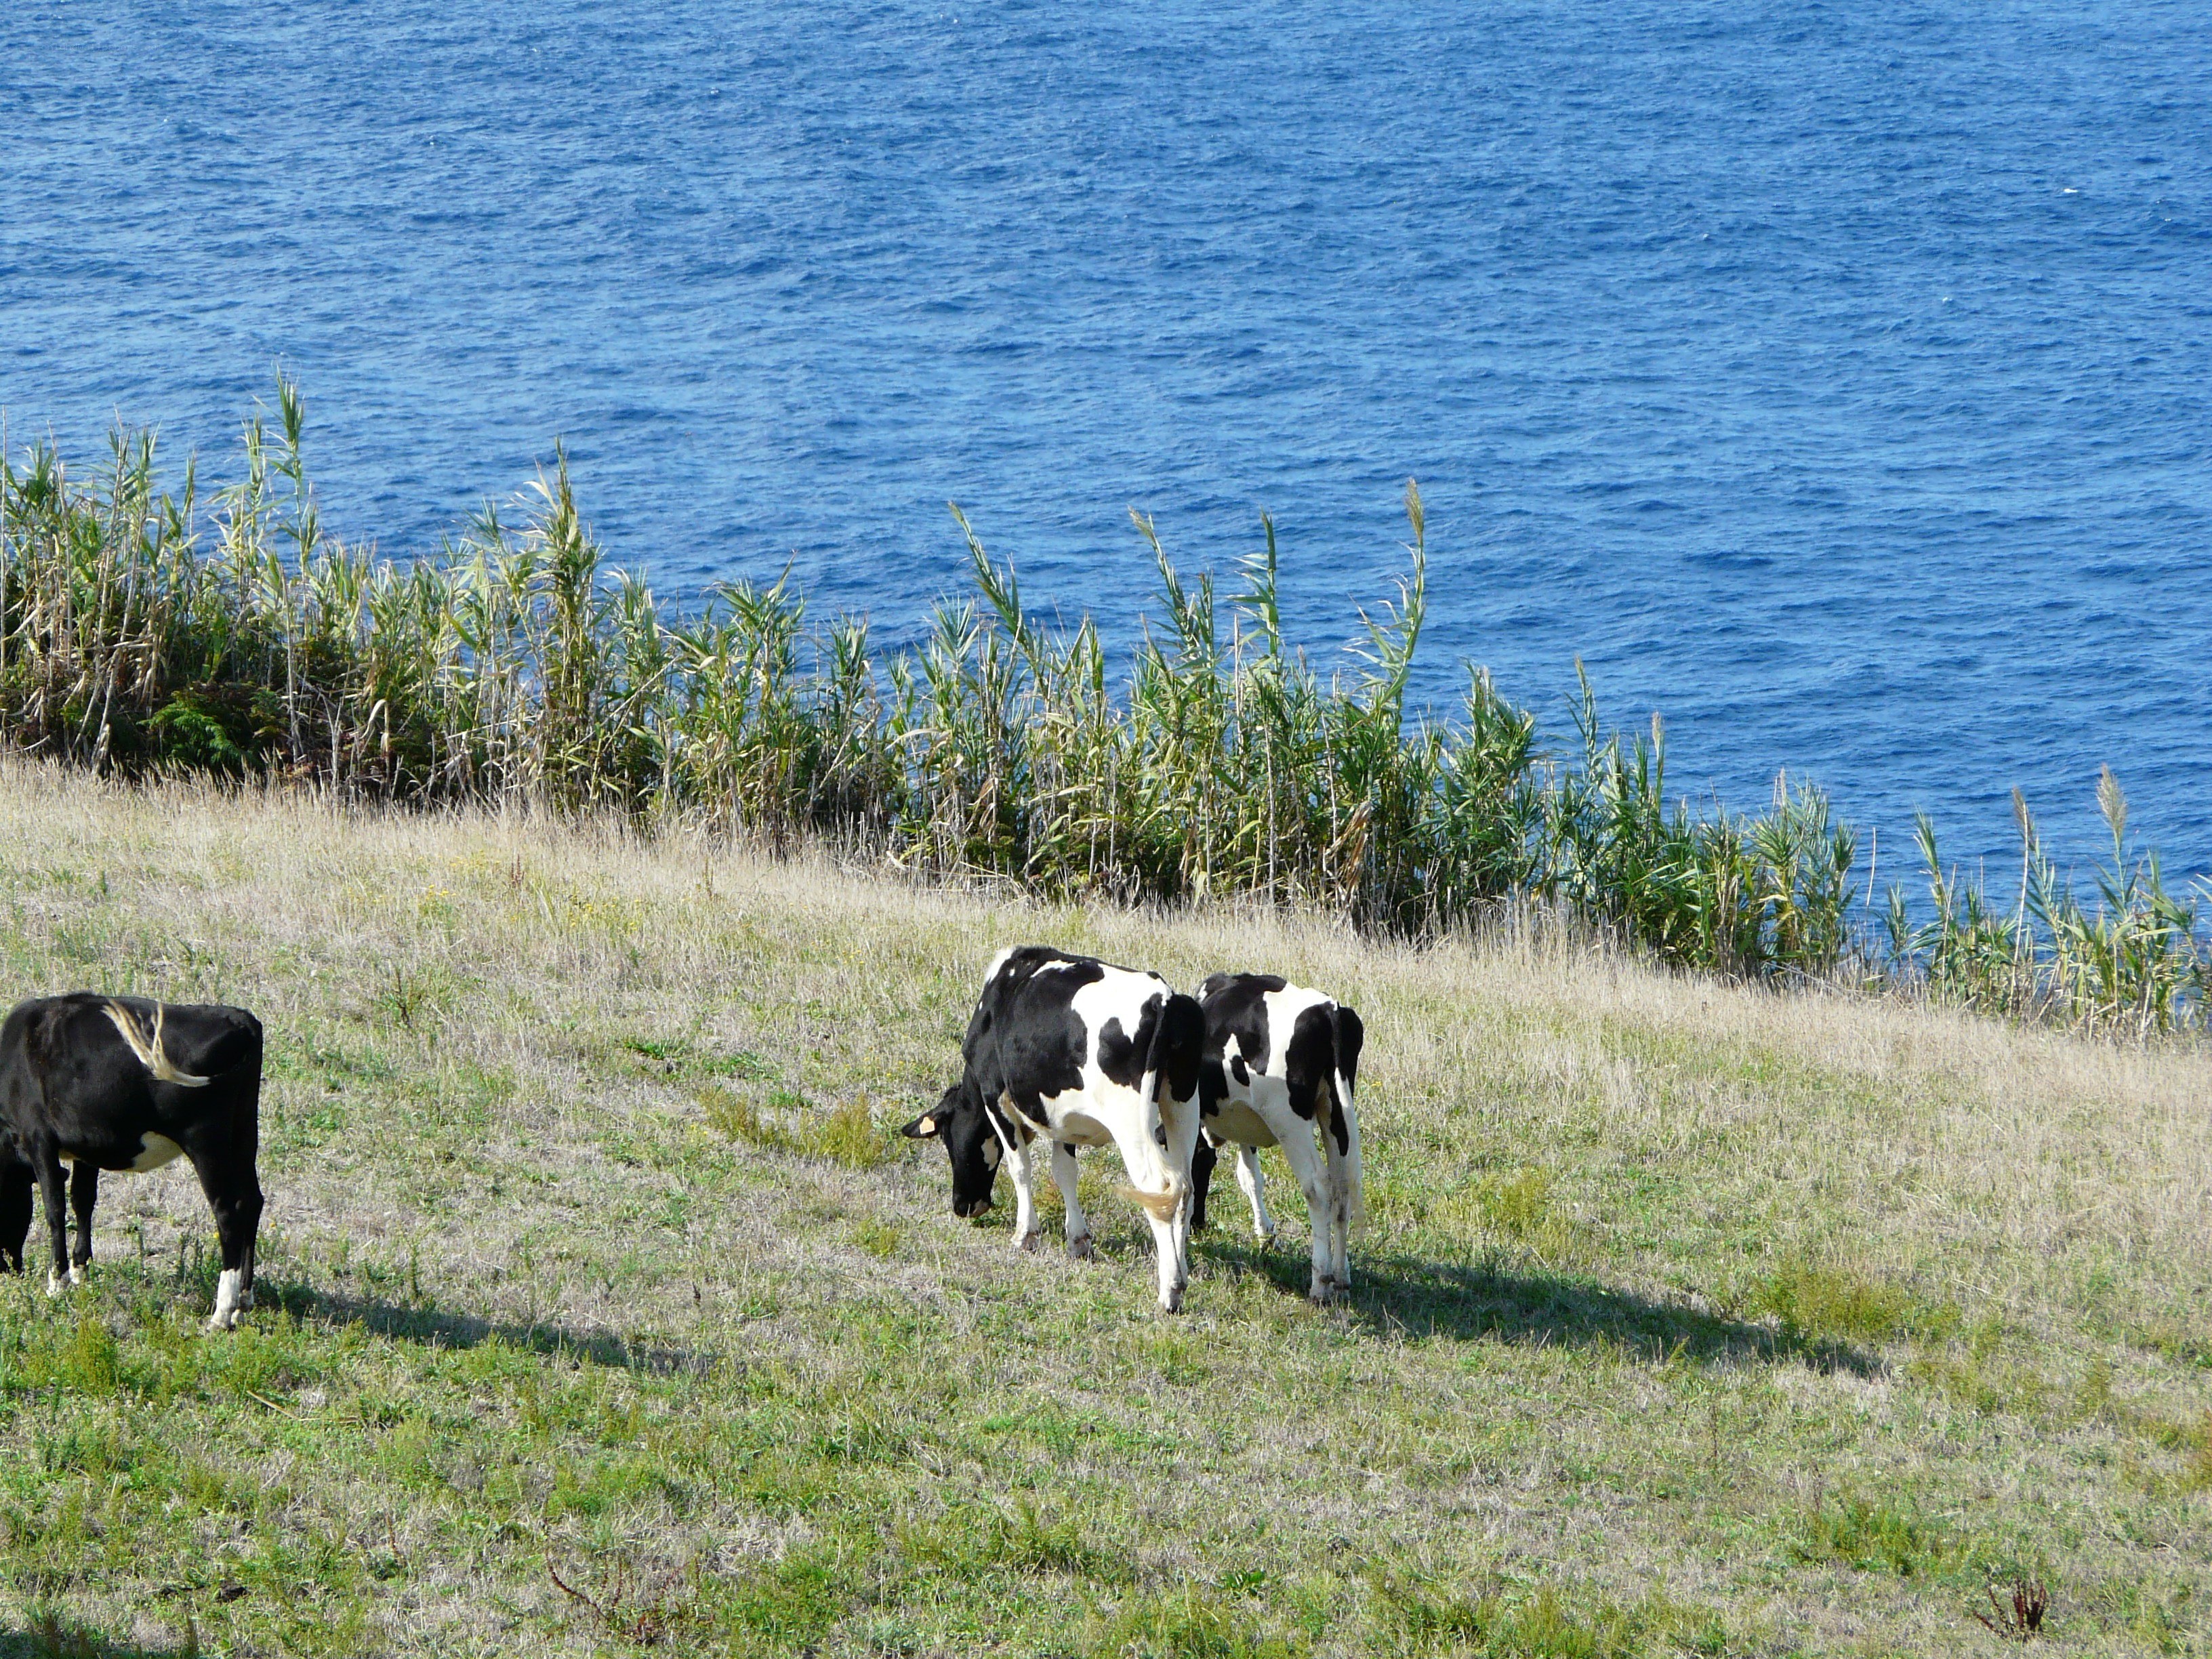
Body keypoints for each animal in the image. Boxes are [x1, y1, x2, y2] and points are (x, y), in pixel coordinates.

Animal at [0, 994, 265, 1330]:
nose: (10, 1270)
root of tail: (241, 1019)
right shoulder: (87, 1146)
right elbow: (82, 1201)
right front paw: (81, 1272)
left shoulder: (39, 1139)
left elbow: (54, 1209)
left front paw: (57, 1283)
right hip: (244, 1132)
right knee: (252, 1201)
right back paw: (244, 1300)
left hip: (206, 1139)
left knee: (228, 1210)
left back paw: (221, 1313)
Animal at [901, 945, 1205, 1312]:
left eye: (948, 1140)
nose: (962, 1205)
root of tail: (1164, 999)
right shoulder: (1064, 1119)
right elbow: (1064, 1172)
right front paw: (1078, 1240)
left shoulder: (996, 1096)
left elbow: (1020, 1167)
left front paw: (1025, 1235)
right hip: (1182, 1103)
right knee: (1184, 1188)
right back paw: (1183, 1271)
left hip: (1131, 1121)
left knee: (1159, 1189)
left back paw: (1170, 1290)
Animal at [1188, 973, 1364, 1304]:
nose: (1198, 1225)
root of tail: (1328, 1010)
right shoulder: (1244, 1121)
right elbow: (1250, 1176)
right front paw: (1265, 1233)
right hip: (1336, 1111)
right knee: (1342, 1186)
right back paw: (1342, 1277)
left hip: (1289, 1120)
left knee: (1318, 1187)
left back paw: (1320, 1283)